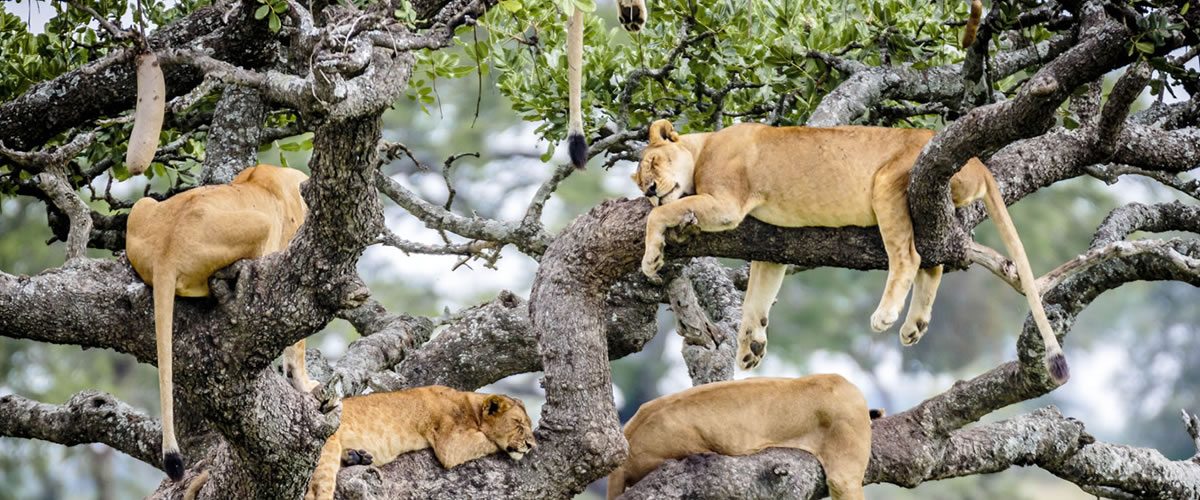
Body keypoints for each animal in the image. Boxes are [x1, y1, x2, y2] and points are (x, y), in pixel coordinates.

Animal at [304, 386, 535, 498]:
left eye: (529, 424)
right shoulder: (451, 445)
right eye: (518, 423)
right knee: (316, 491)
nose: (532, 445)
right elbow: (489, 441)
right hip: (327, 452)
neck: (472, 408)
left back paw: (357, 457)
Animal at [638, 118, 1070, 386]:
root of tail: (979, 161)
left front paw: (651, 258)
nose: (649, 190)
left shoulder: (727, 203)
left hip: (888, 183)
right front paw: (751, 347)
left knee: (910, 258)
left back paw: (887, 316)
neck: (704, 145)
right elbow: (755, 302)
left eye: (652, 162)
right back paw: (914, 326)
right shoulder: (771, 247)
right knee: (933, 263)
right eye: (638, 178)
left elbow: (662, 214)